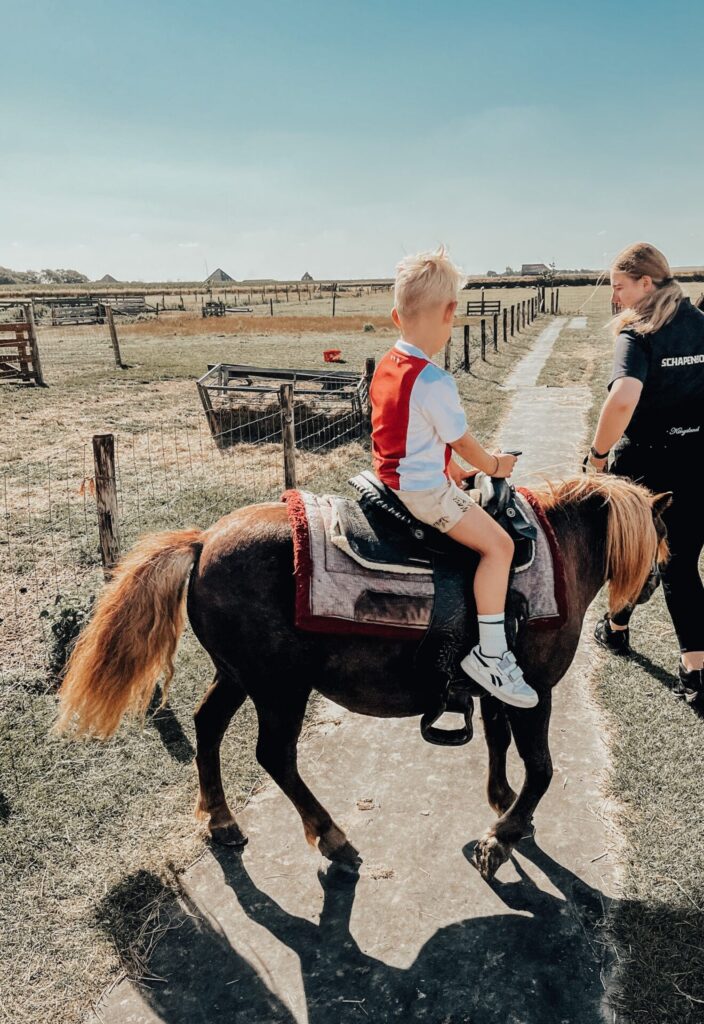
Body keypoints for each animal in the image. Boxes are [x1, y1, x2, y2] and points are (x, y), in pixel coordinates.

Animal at [56, 473, 671, 880]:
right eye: (667, 530)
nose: (652, 585)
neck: (560, 552)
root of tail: (203, 541)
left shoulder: (504, 690)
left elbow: (499, 741)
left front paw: (501, 802)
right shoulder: (536, 691)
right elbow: (541, 769)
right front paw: (503, 838)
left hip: (237, 675)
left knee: (207, 726)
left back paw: (223, 822)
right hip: (279, 688)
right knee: (274, 755)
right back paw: (333, 839)